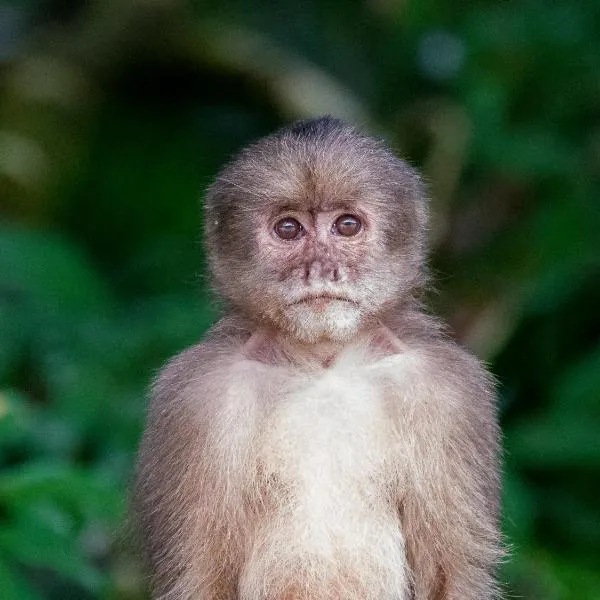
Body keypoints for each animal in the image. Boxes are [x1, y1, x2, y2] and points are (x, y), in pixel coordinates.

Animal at [135, 117, 502, 600]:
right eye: (289, 229)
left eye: (346, 225)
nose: (321, 269)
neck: (322, 366)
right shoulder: (196, 396)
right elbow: (197, 578)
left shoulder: (449, 391)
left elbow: (453, 574)